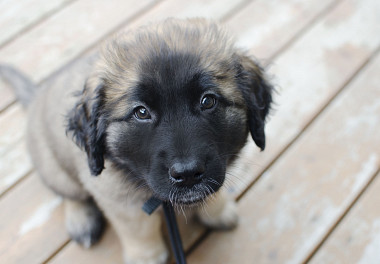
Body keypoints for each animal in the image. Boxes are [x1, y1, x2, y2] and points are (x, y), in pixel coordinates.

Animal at [5, 18, 272, 264]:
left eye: (208, 101)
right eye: (141, 112)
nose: (187, 174)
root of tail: (37, 96)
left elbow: (213, 191)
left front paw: (218, 211)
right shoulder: (116, 197)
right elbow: (140, 230)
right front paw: (146, 256)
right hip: (55, 169)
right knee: (70, 195)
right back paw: (81, 221)